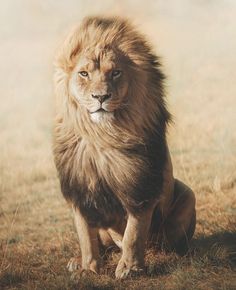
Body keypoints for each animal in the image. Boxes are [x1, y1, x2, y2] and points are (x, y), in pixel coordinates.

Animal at [53, 16, 195, 278]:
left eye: (116, 73)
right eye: (84, 74)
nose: (101, 97)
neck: (103, 134)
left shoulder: (142, 186)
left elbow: (134, 233)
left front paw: (130, 268)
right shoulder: (78, 187)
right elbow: (85, 236)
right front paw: (88, 268)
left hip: (188, 195)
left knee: (162, 243)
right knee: (103, 243)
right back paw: (77, 260)